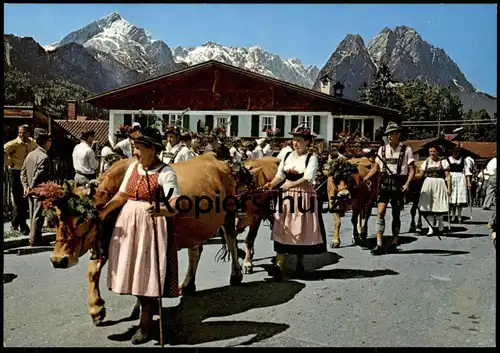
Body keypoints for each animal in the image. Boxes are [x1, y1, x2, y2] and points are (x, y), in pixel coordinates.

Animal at [28, 152, 248, 324]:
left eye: (80, 219)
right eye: (54, 220)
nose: (58, 260)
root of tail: (216, 159)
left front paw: (141, 307)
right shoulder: (104, 240)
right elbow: (93, 272)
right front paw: (96, 310)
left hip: (229, 213)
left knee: (231, 240)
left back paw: (236, 275)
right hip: (196, 226)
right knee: (196, 250)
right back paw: (187, 284)